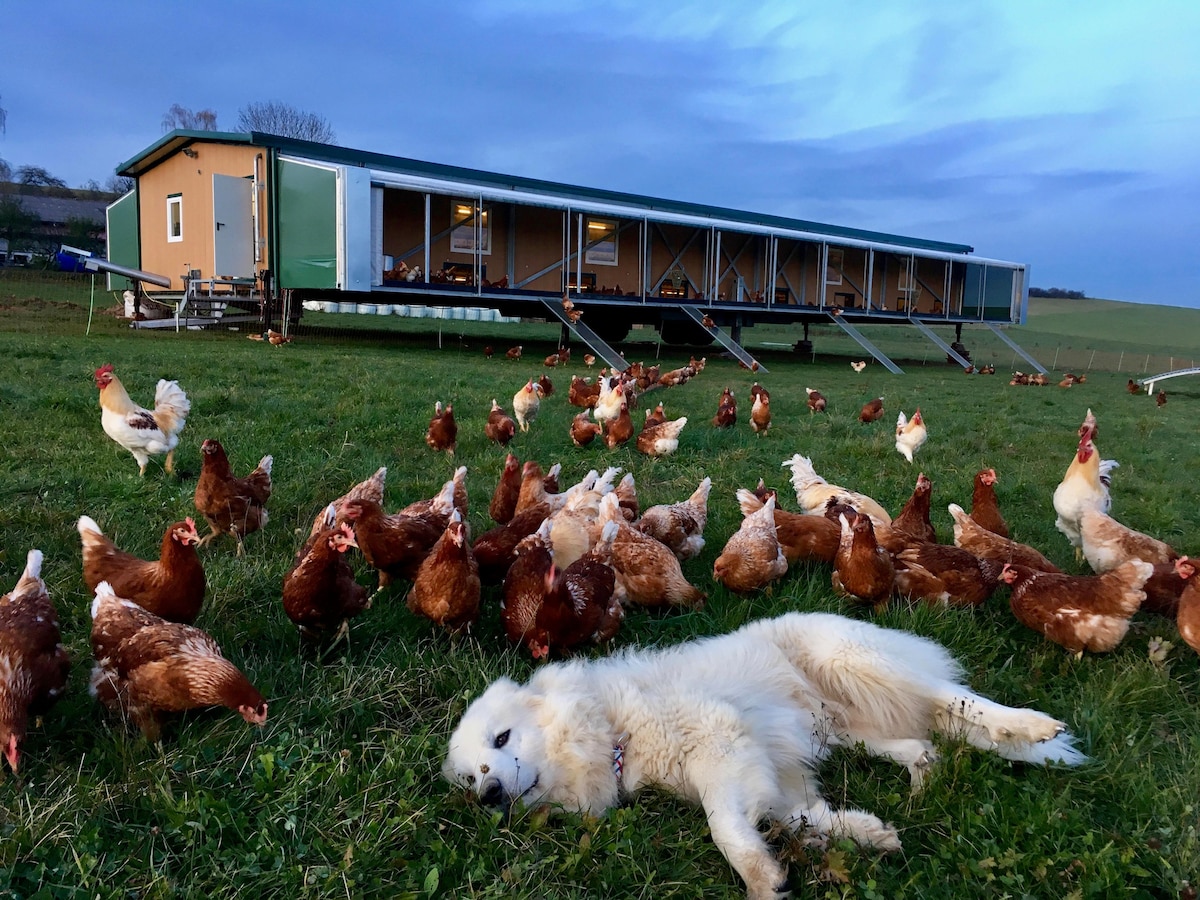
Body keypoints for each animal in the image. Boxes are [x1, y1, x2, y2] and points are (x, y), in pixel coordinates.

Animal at [444, 614, 1089, 900]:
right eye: (471, 777)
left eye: (502, 740)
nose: (490, 796)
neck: (610, 725)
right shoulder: (772, 770)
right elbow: (802, 816)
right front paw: (867, 836)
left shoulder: (721, 747)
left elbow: (725, 827)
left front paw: (760, 880)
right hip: (850, 731)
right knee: (921, 745)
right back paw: (924, 790)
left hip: (861, 666)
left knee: (961, 699)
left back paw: (1031, 726)